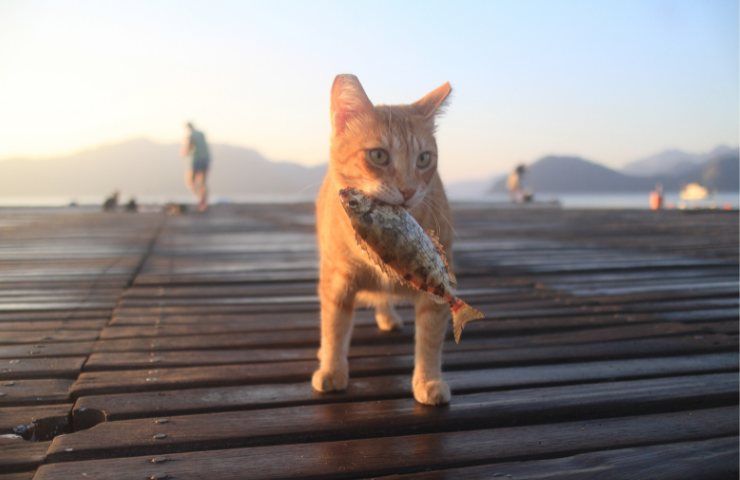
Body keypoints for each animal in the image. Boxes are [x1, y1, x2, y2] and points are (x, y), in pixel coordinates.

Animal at [314, 75, 454, 404]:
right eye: (378, 155)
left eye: (424, 159)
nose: (408, 190)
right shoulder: (337, 282)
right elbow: (334, 327)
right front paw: (332, 369)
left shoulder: (436, 290)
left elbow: (430, 340)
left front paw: (428, 381)